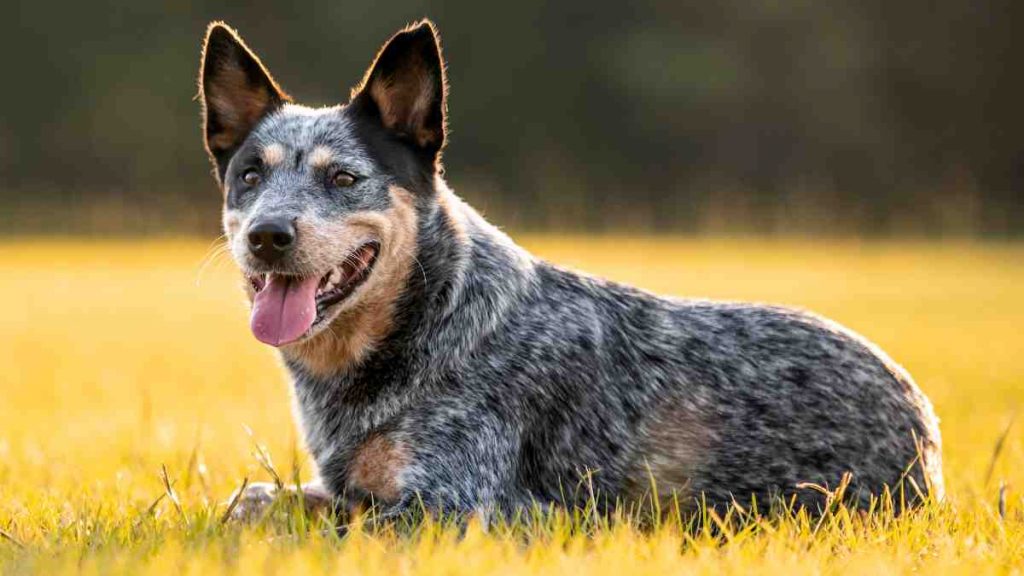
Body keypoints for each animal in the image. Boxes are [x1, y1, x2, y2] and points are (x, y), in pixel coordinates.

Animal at [197, 19, 942, 520]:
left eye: (344, 178)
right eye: (251, 176)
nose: (267, 235)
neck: (432, 320)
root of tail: (920, 412)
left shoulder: (460, 508)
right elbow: (252, 498)